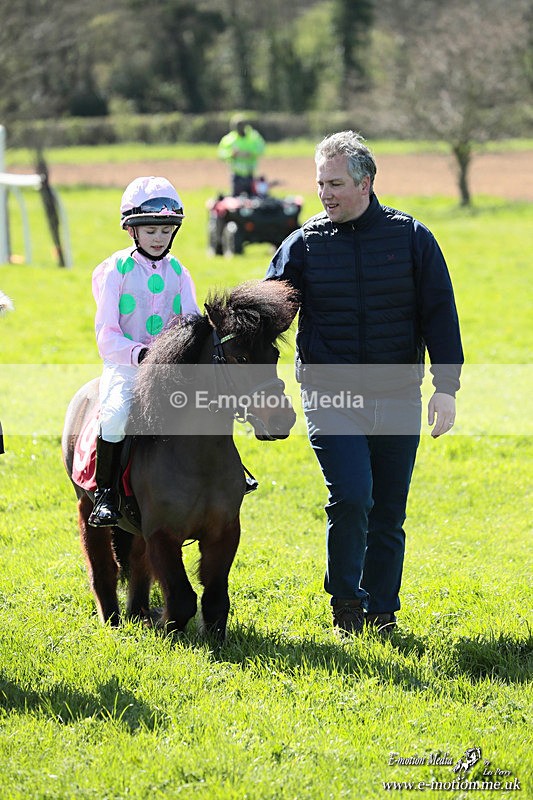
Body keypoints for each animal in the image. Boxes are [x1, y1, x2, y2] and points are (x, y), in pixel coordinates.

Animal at [62, 279, 298, 639]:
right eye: (240, 357)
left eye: (273, 356)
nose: (282, 420)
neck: (199, 461)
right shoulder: (163, 533)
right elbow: (183, 596)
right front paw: (170, 632)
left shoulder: (224, 532)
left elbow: (215, 597)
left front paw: (214, 640)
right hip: (86, 506)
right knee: (104, 567)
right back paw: (113, 621)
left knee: (138, 563)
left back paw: (139, 614)